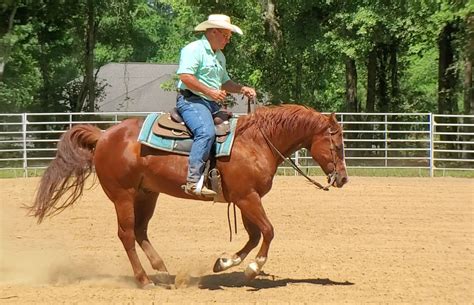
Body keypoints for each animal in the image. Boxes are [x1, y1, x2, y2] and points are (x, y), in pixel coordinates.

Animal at [29, 104, 348, 288]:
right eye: (338, 145)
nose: (343, 179)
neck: (255, 142)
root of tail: (104, 136)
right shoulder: (247, 197)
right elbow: (268, 231)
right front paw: (252, 269)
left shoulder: (245, 198)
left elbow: (254, 235)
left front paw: (224, 263)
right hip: (123, 195)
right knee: (127, 234)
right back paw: (144, 280)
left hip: (147, 194)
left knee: (141, 230)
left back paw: (162, 272)